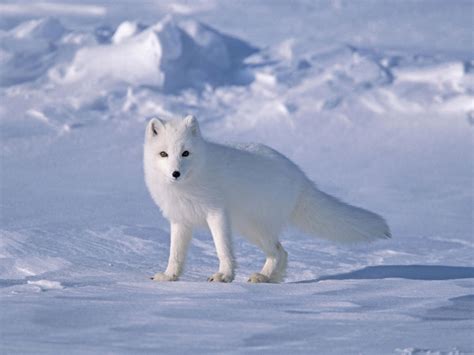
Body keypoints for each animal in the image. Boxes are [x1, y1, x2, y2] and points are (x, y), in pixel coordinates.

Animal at [145, 116, 392, 284]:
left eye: (185, 153)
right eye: (164, 154)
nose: (175, 173)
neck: (189, 184)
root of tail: (300, 177)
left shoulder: (217, 214)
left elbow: (222, 248)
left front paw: (224, 276)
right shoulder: (180, 220)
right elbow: (175, 254)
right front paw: (169, 276)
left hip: (253, 226)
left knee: (279, 251)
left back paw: (263, 277)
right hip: (249, 228)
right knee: (282, 252)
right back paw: (270, 278)